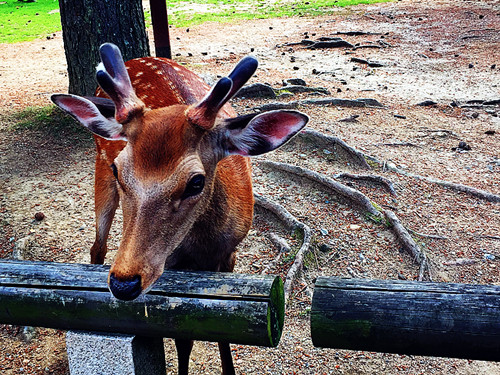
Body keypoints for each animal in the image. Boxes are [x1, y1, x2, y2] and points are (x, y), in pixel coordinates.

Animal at [51, 42, 308, 374]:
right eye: (120, 170)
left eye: (196, 182)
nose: (123, 283)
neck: (203, 249)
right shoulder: (171, 265)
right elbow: (183, 339)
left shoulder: (231, 254)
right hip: (99, 168)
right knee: (98, 246)